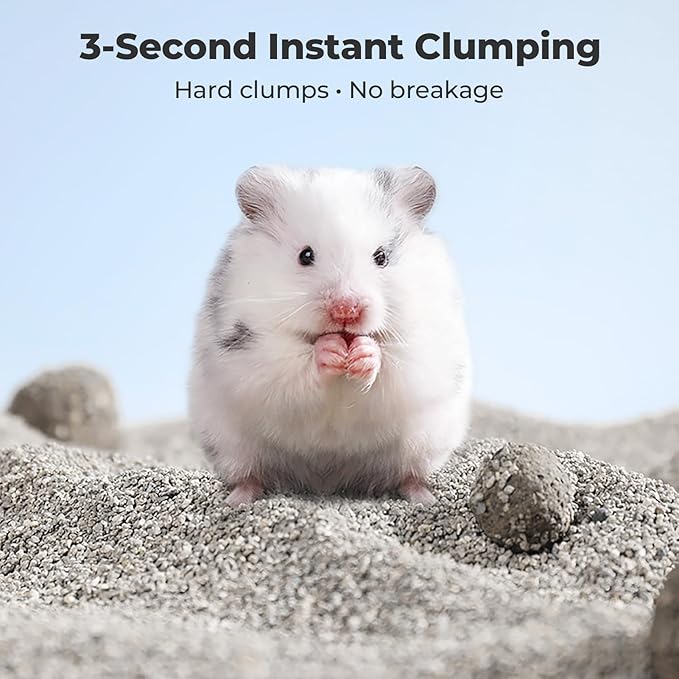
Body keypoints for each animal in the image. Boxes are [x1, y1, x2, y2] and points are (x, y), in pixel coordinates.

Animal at [188, 166, 471, 506]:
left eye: (381, 257)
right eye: (305, 255)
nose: (346, 310)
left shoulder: (425, 342)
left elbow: (392, 362)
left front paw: (363, 353)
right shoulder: (249, 349)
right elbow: (289, 364)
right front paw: (331, 349)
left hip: (425, 444)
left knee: (409, 475)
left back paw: (425, 499)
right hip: (230, 444)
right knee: (249, 475)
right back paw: (236, 500)